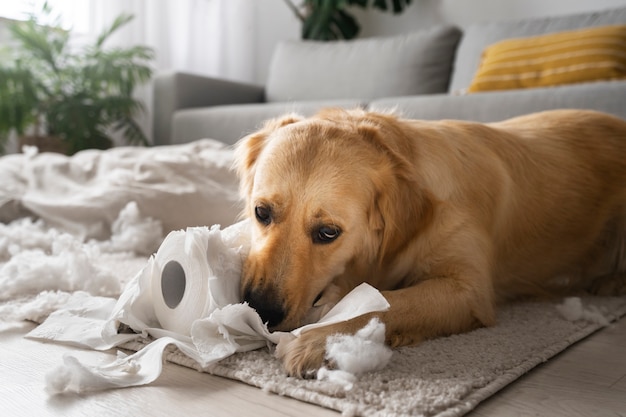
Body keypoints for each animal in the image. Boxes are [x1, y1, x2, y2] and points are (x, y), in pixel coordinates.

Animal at [233, 108, 624, 376]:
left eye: (328, 233)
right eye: (261, 212)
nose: (261, 310)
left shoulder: (468, 290)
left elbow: (385, 303)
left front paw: (317, 339)